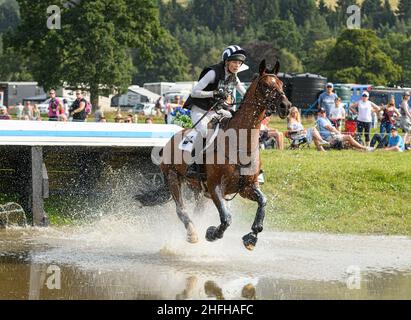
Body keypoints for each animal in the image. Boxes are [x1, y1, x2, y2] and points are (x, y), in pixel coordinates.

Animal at [138, 59, 292, 250]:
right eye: (265, 85)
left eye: (281, 84)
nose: (285, 106)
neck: (240, 144)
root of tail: (170, 140)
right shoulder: (215, 186)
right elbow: (226, 218)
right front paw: (213, 233)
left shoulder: (247, 187)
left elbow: (263, 202)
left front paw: (252, 237)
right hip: (173, 178)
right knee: (181, 210)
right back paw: (192, 234)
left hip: (198, 190)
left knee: (197, 211)